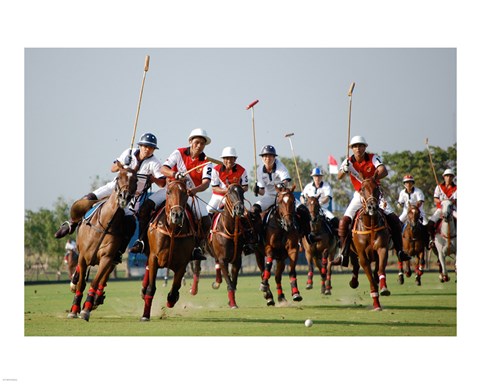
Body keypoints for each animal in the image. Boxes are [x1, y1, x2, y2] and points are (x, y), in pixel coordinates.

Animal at [66, 168, 137, 320]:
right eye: (118, 177)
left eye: (135, 179)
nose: (124, 196)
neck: (105, 225)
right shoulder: (83, 257)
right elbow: (81, 283)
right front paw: (74, 309)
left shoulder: (107, 258)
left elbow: (96, 281)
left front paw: (86, 309)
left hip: (113, 261)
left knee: (102, 280)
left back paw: (96, 300)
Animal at [141, 178, 195, 320]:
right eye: (169, 191)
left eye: (186, 192)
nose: (177, 215)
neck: (173, 231)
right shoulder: (154, 257)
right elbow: (151, 288)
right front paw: (145, 315)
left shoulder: (183, 263)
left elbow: (174, 289)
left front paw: (171, 300)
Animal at [348, 178, 390, 310]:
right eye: (362, 189)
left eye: (377, 188)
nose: (372, 207)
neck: (370, 224)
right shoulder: (362, 256)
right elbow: (370, 280)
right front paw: (376, 303)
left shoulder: (382, 248)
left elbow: (381, 269)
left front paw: (384, 288)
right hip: (351, 251)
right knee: (355, 265)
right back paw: (353, 282)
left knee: (376, 269)